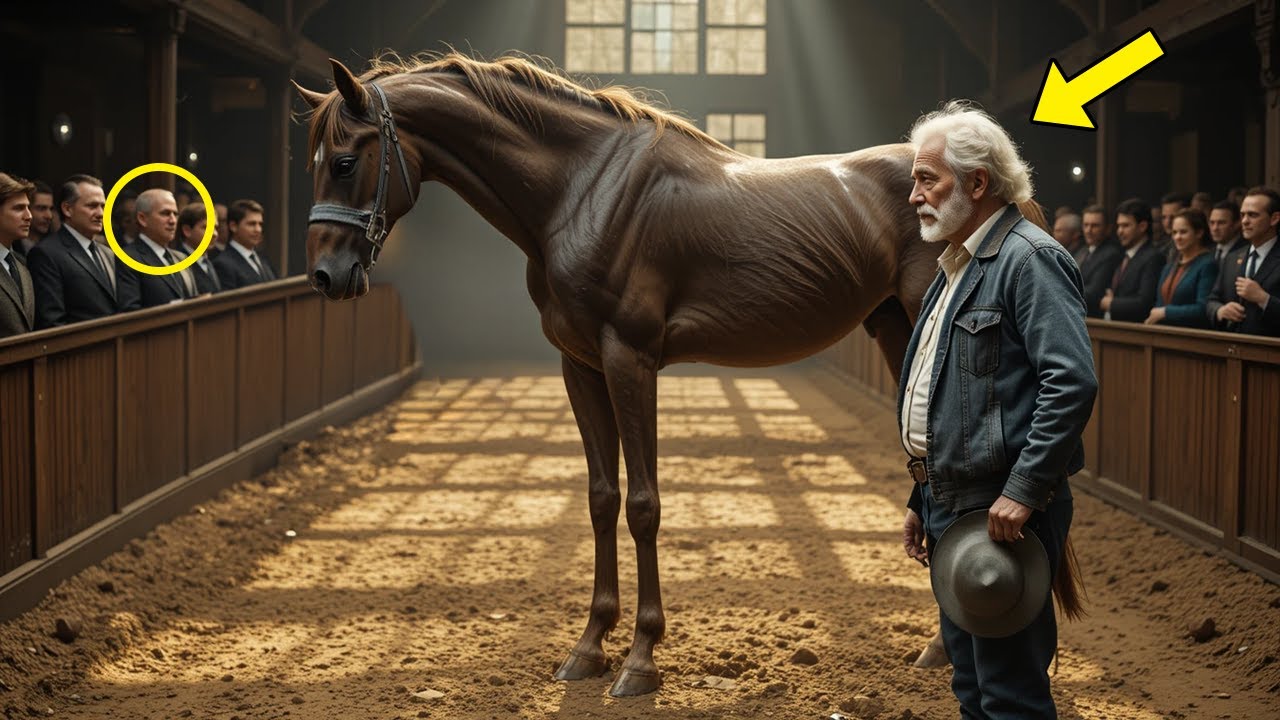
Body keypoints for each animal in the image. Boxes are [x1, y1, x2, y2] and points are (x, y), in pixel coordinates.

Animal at [291, 52, 1041, 697]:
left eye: (345, 160)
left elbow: (644, 504)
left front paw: (641, 660)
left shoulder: (631, 358)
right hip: (895, 333)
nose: (325, 275)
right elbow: (601, 499)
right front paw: (589, 648)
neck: (580, 189)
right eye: (315, 162)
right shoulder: (579, 365)